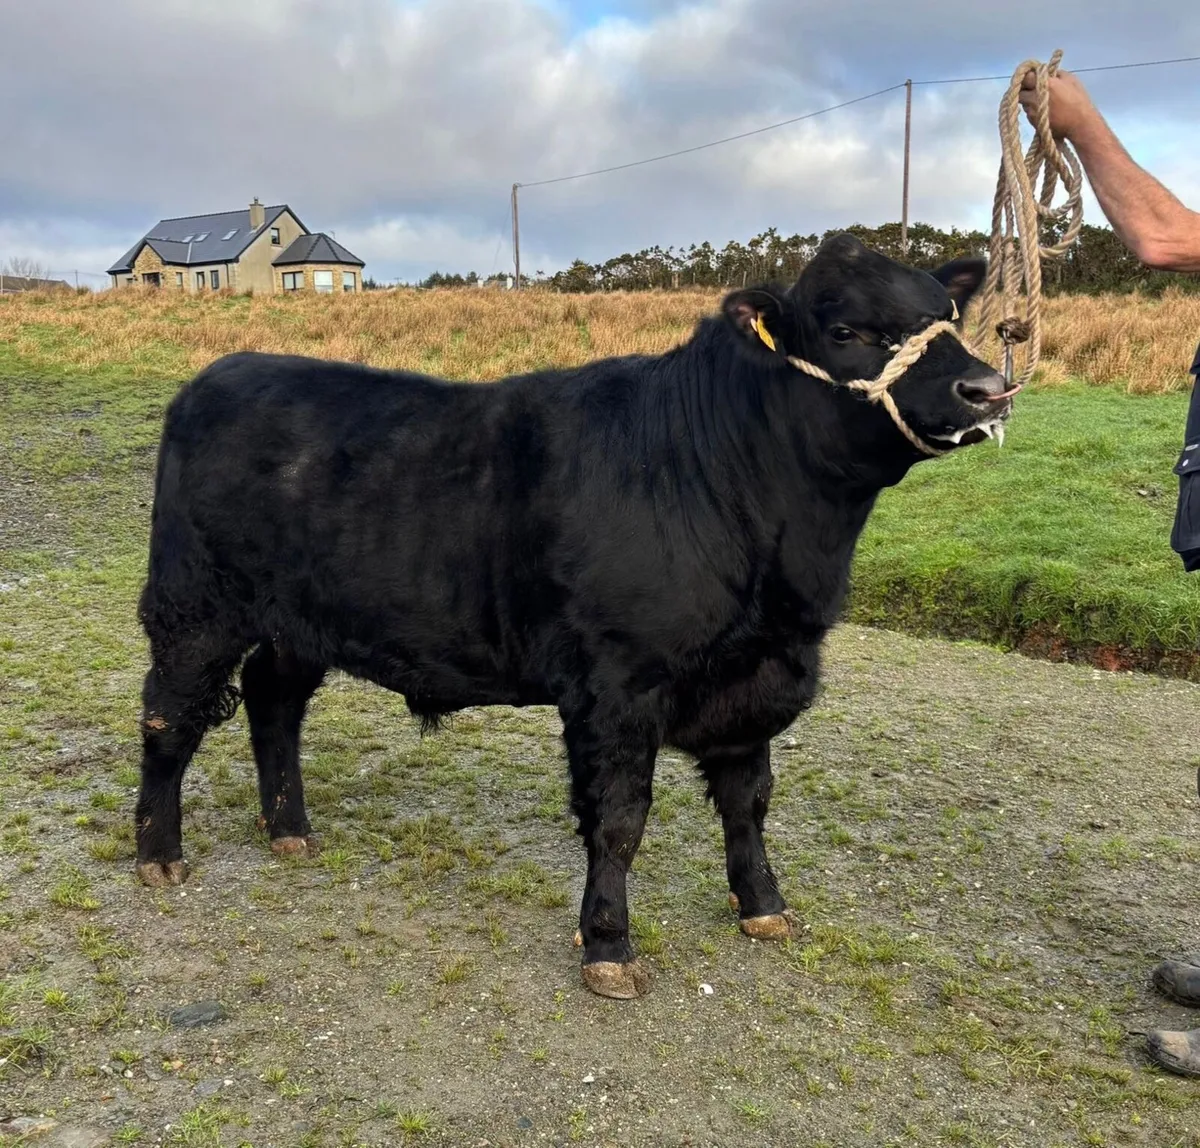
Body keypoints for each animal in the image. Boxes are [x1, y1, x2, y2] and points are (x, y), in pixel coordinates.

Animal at [133, 233, 1014, 999]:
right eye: (846, 329)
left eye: (949, 315)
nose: (988, 389)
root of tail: (220, 372)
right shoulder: (617, 685)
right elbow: (619, 820)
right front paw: (609, 947)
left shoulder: (754, 678)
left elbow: (749, 799)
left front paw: (764, 906)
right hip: (194, 606)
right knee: (167, 719)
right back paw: (158, 854)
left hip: (296, 622)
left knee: (273, 702)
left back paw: (289, 829)